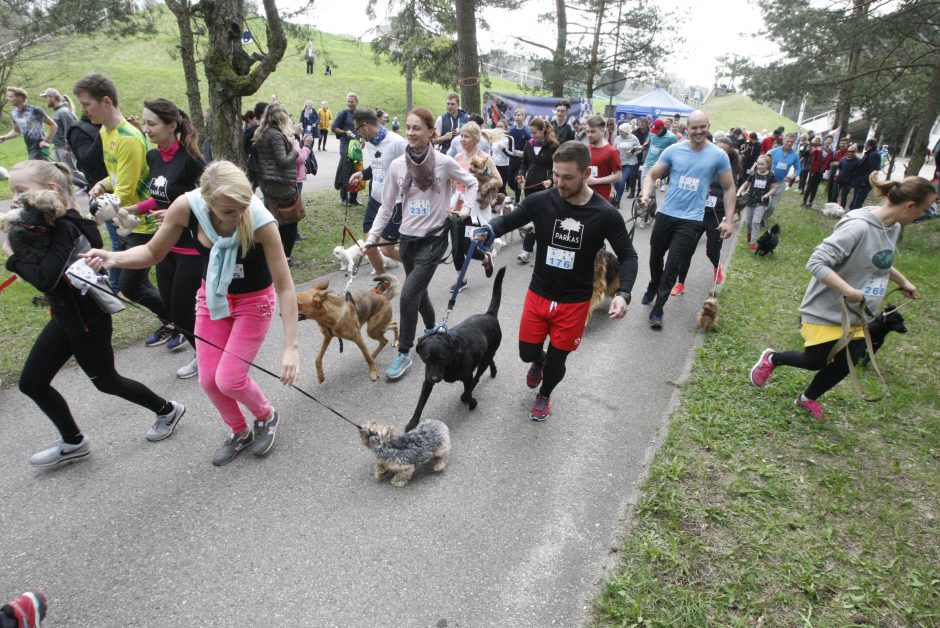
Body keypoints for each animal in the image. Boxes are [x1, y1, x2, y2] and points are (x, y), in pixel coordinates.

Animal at [404, 264, 506, 432]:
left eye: (442, 358)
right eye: (426, 359)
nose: (435, 378)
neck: (451, 362)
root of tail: (490, 314)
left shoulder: (466, 376)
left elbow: (469, 389)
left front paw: (472, 402)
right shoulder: (427, 381)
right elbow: (420, 403)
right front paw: (412, 423)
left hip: (486, 356)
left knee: (478, 376)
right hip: (486, 353)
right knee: (488, 361)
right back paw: (493, 370)